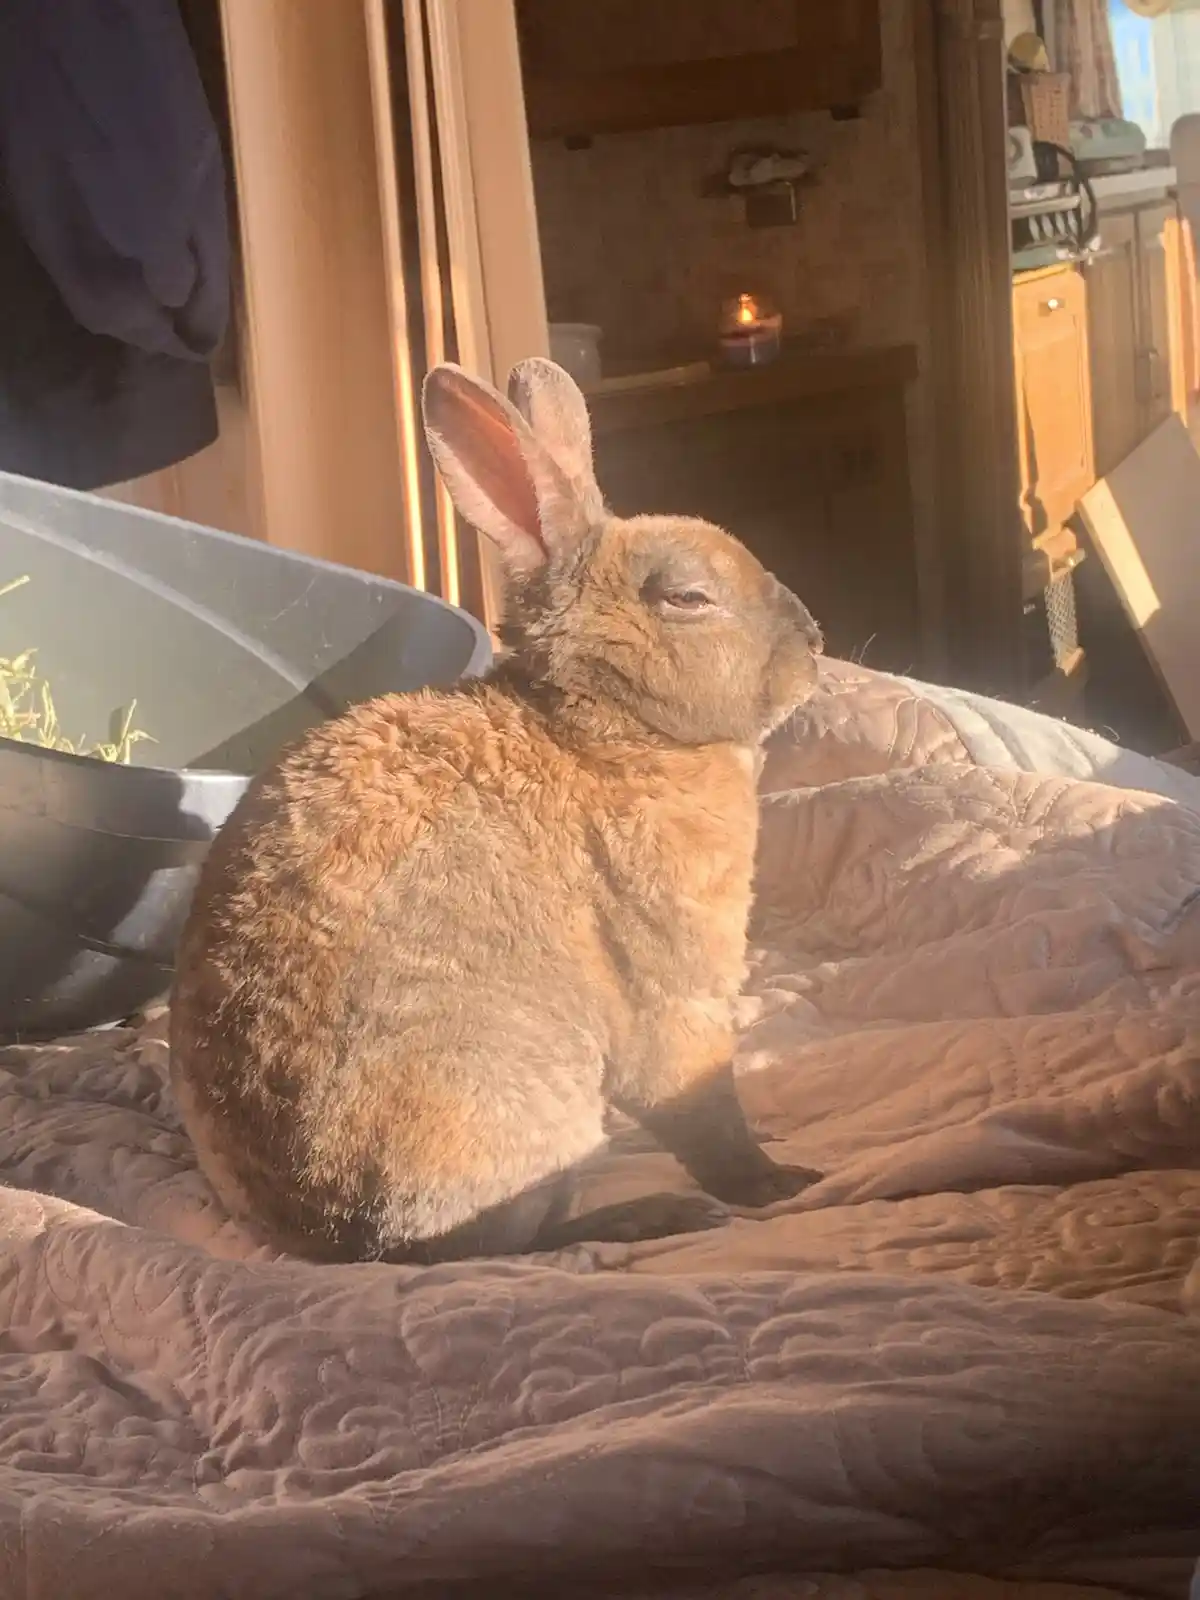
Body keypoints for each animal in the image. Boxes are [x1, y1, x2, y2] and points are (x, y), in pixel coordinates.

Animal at [168, 356, 825, 1265]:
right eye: (689, 598)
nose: (817, 648)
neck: (601, 723)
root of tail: (349, 1240)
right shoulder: (675, 996)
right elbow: (704, 1113)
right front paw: (779, 1185)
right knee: (507, 1245)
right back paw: (652, 1216)